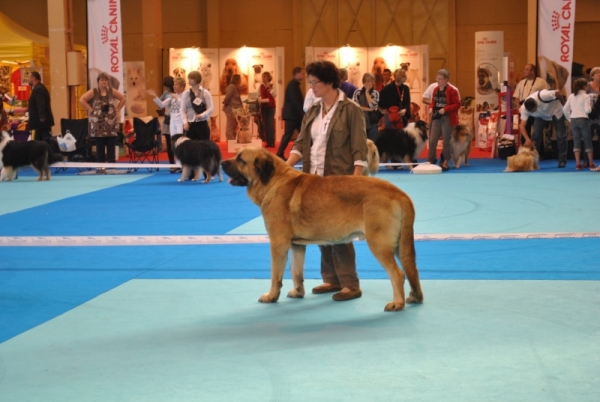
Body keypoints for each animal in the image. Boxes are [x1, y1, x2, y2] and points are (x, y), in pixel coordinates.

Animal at [223, 148, 424, 310]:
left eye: (241, 160)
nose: (222, 162)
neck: (272, 181)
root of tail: (400, 194)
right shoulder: (297, 245)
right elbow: (296, 271)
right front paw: (298, 292)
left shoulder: (278, 244)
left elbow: (276, 275)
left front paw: (271, 296)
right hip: (399, 245)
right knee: (412, 269)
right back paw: (415, 297)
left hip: (380, 244)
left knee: (398, 274)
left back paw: (397, 303)